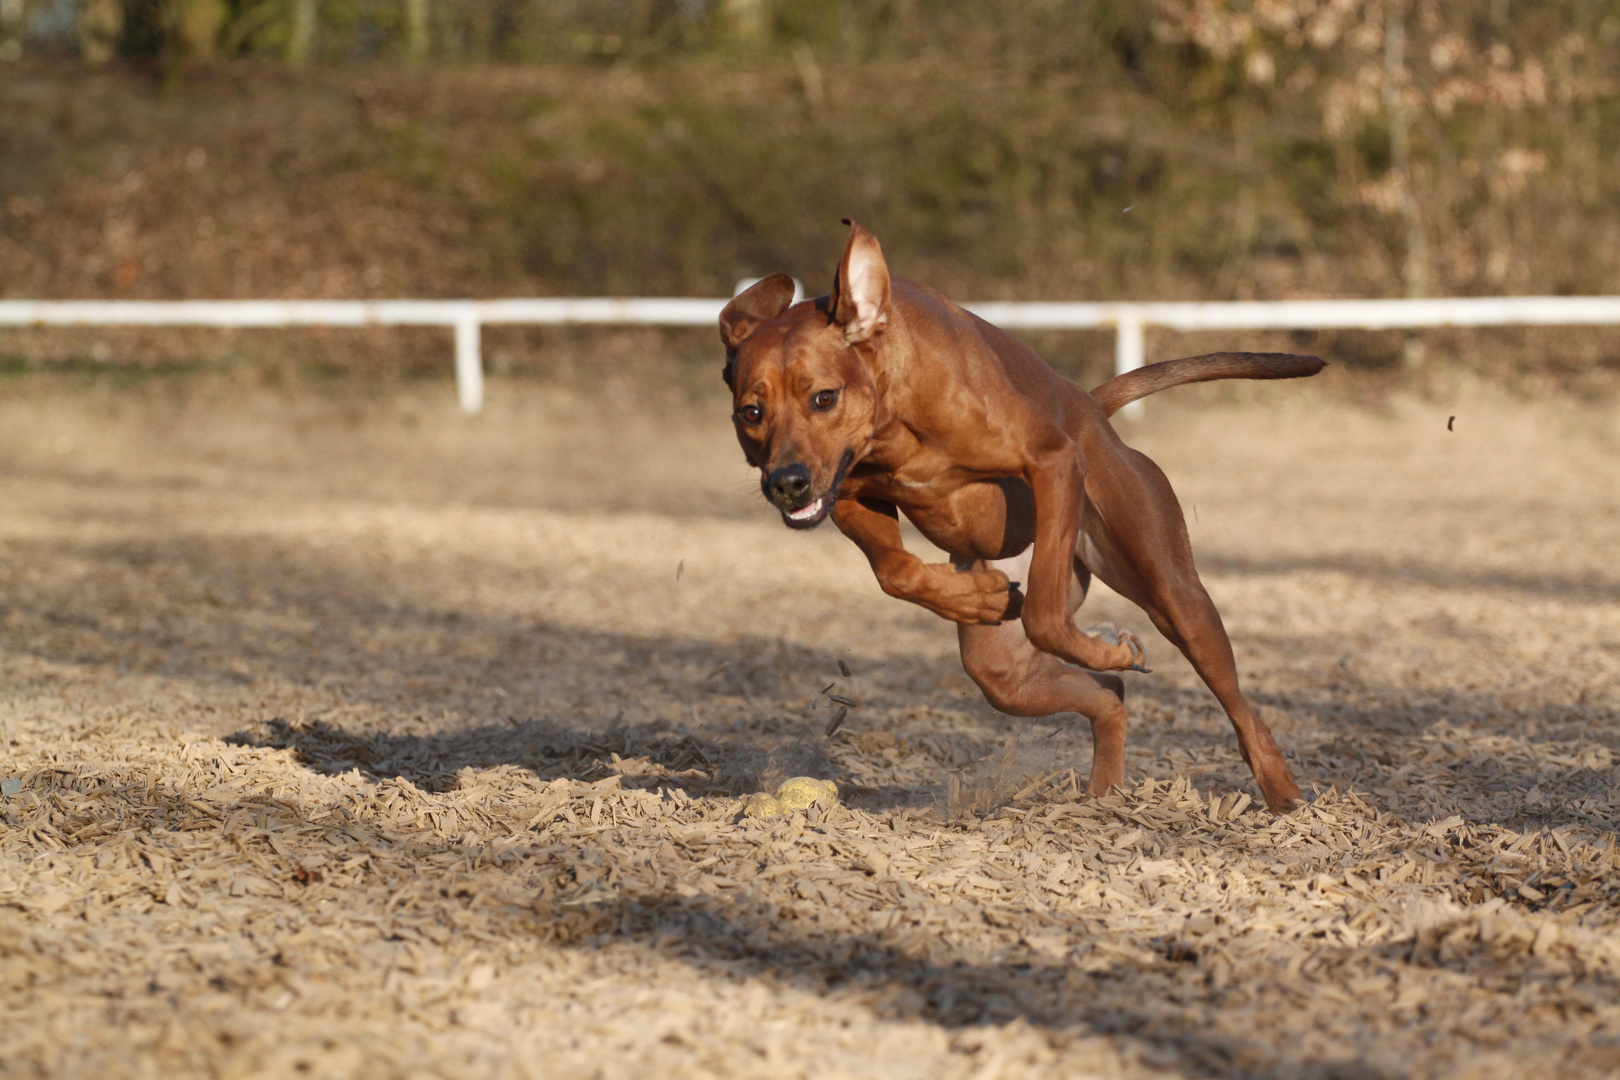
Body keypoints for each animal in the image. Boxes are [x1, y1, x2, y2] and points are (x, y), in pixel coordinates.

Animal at [719, 221, 1315, 809]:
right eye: (751, 412)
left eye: (824, 397)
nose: (787, 483)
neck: (892, 417)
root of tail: (1093, 407)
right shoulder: (847, 498)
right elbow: (896, 571)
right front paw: (975, 598)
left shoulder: (1052, 461)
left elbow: (1045, 616)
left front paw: (1101, 648)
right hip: (1004, 673)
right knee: (1106, 694)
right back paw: (1104, 789)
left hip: (1171, 588)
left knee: (1238, 706)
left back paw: (1281, 792)